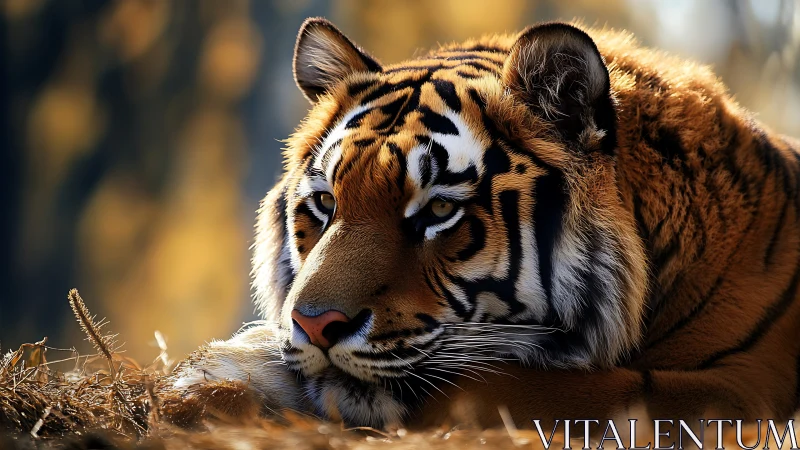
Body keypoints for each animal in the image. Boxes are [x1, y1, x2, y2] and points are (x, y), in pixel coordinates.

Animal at [160, 18, 800, 430]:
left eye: (439, 211)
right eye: (325, 204)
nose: (316, 326)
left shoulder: (736, 388)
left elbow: (504, 385)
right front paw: (206, 381)